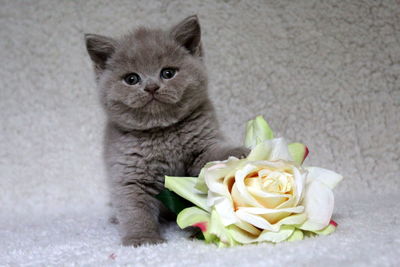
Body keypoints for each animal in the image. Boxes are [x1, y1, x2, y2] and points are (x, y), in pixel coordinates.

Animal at [85, 15, 247, 248]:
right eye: (131, 79)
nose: (151, 87)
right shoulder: (129, 174)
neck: (162, 132)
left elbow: (212, 154)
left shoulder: (202, 145)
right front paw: (142, 239)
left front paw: (238, 152)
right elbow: (135, 209)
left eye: (168, 73)